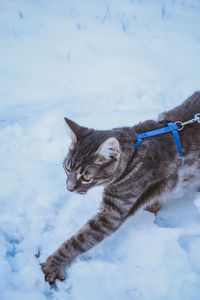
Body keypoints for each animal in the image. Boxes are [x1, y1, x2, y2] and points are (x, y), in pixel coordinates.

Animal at [40, 91, 200, 284]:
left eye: (86, 177)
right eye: (68, 168)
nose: (69, 188)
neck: (134, 153)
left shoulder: (113, 211)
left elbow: (80, 239)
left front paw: (54, 263)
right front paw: (153, 208)